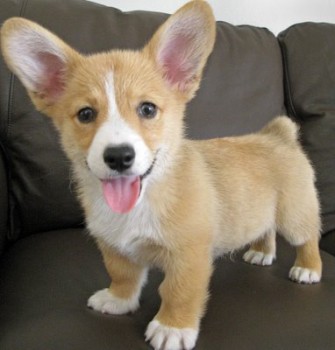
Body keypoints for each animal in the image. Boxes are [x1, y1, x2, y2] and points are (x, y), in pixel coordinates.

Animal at [1, 2, 324, 350]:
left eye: (147, 109)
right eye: (86, 114)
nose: (119, 156)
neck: (143, 200)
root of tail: (279, 135)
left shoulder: (189, 256)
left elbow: (178, 292)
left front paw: (173, 328)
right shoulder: (113, 247)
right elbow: (122, 275)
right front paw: (118, 300)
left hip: (294, 216)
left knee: (308, 238)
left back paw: (307, 269)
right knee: (266, 230)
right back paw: (262, 252)